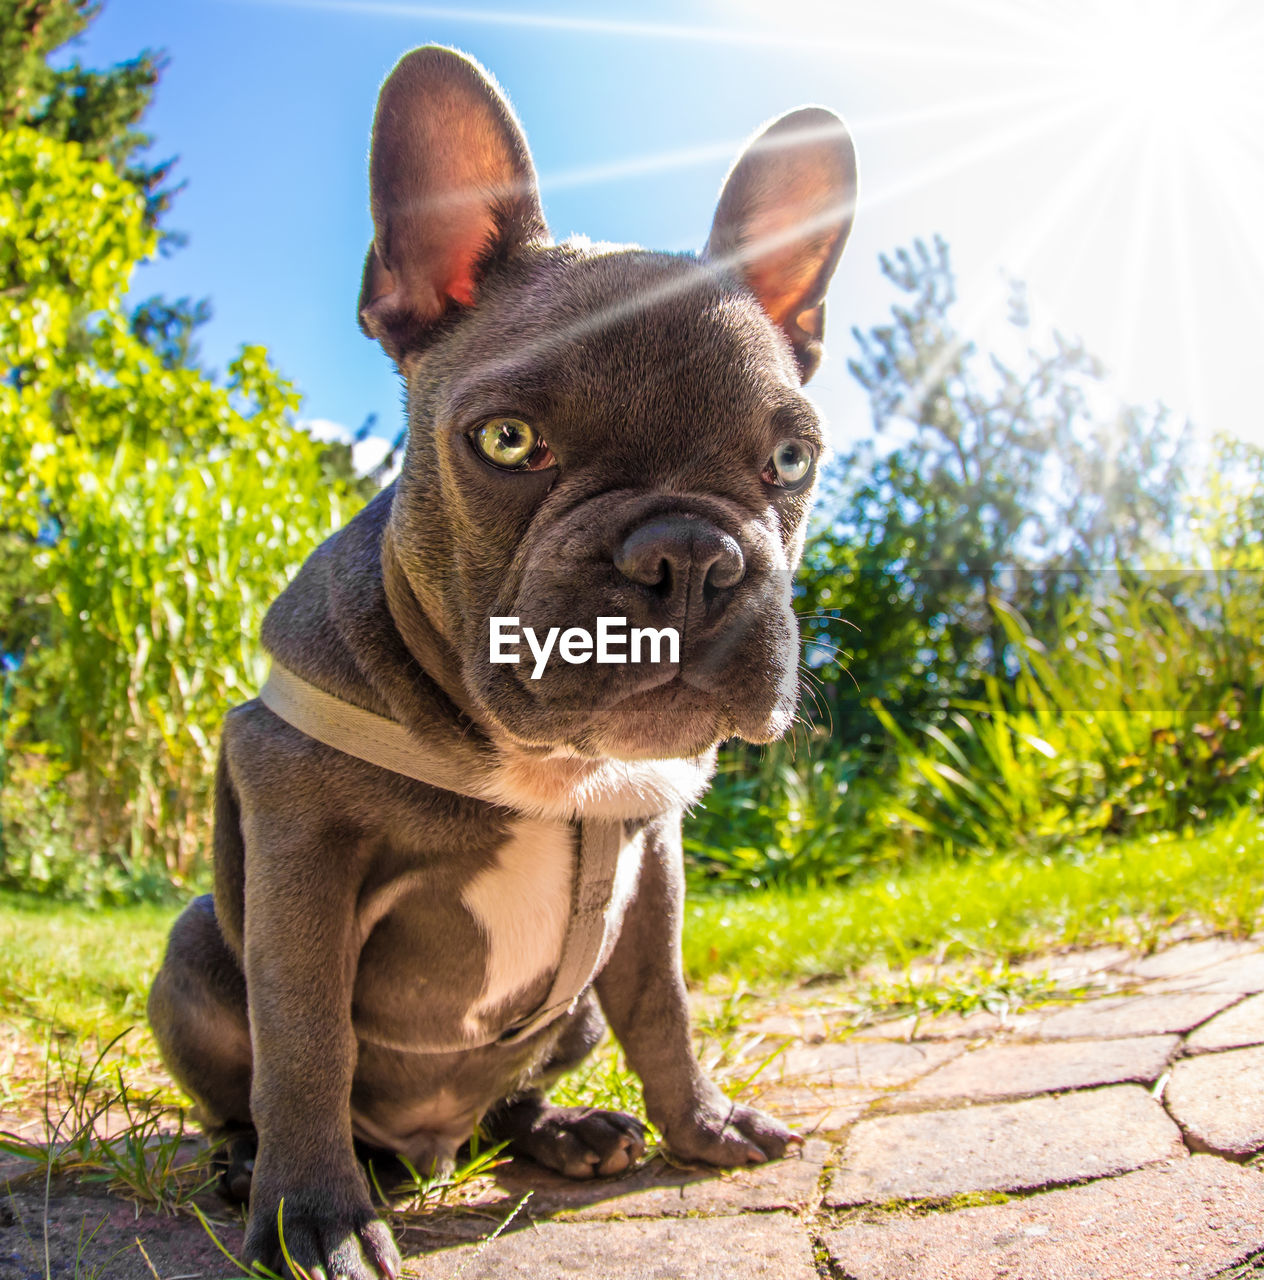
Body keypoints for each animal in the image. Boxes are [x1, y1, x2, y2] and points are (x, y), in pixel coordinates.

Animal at [148, 45, 859, 1274]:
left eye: (790, 458)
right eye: (507, 441)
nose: (687, 553)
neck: (551, 760)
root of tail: (426, 1150)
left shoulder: (651, 862)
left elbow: (666, 1007)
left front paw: (700, 1122)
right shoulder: (300, 851)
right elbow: (305, 1038)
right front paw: (314, 1216)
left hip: (562, 1018)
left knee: (510, 1099)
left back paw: (565, 1131)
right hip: (195, 946)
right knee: (254, 1086)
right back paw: (259, 1167)